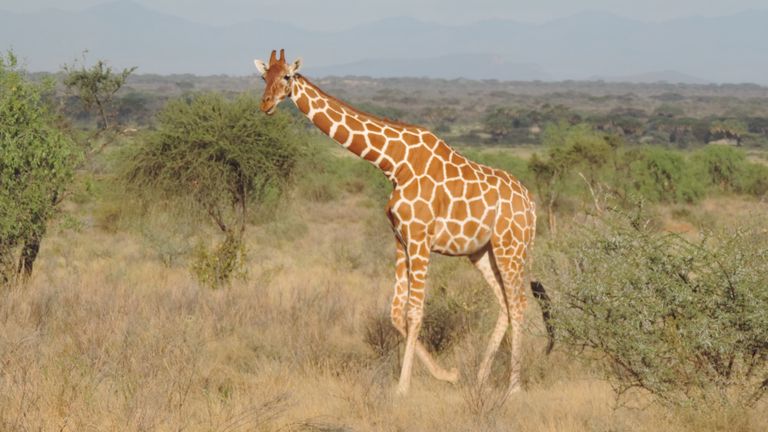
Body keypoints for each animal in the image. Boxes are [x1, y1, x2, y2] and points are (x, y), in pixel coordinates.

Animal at [254, 49, 552, 397]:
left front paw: (403, 386)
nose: (266, 104)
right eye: (264, 77)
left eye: (287, 76)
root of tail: (531, 204)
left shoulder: (420, 238)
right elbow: (396, 312)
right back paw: (480, 378)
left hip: (511, 246)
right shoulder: (400, 238)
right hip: (482, 252)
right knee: (504, 303)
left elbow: (415, 312)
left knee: (519, 303)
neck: (393, 162)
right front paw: (447, 375)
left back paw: (514, 386)